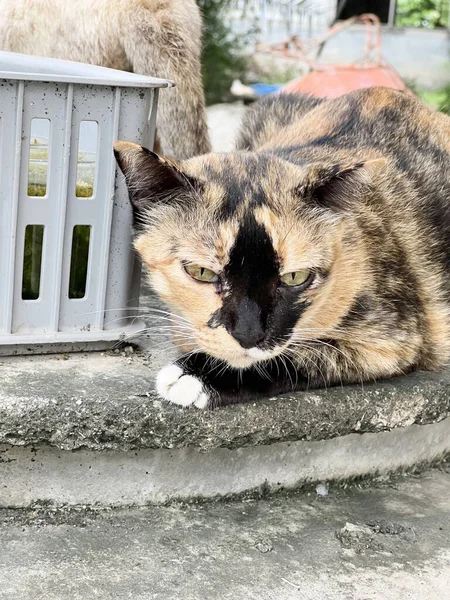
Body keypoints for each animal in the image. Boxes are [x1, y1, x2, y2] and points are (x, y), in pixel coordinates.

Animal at [113, 88, 450, 408]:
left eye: (295, 277)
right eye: (201, 272)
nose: (249, 335)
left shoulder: (394, 337)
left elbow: (299, 355)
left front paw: (194, 375)